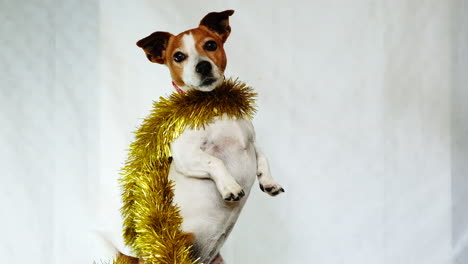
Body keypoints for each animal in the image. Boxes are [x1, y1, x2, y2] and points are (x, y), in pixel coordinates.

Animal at [130, 9, 284, 262]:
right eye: (178, 56)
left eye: (211, 45)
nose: (202, 66)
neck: (213, 104)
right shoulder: (187, 155)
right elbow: (215, 161)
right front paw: (230, 186)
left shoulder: (252, 142)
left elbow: (263, 158)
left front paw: (269, 181)